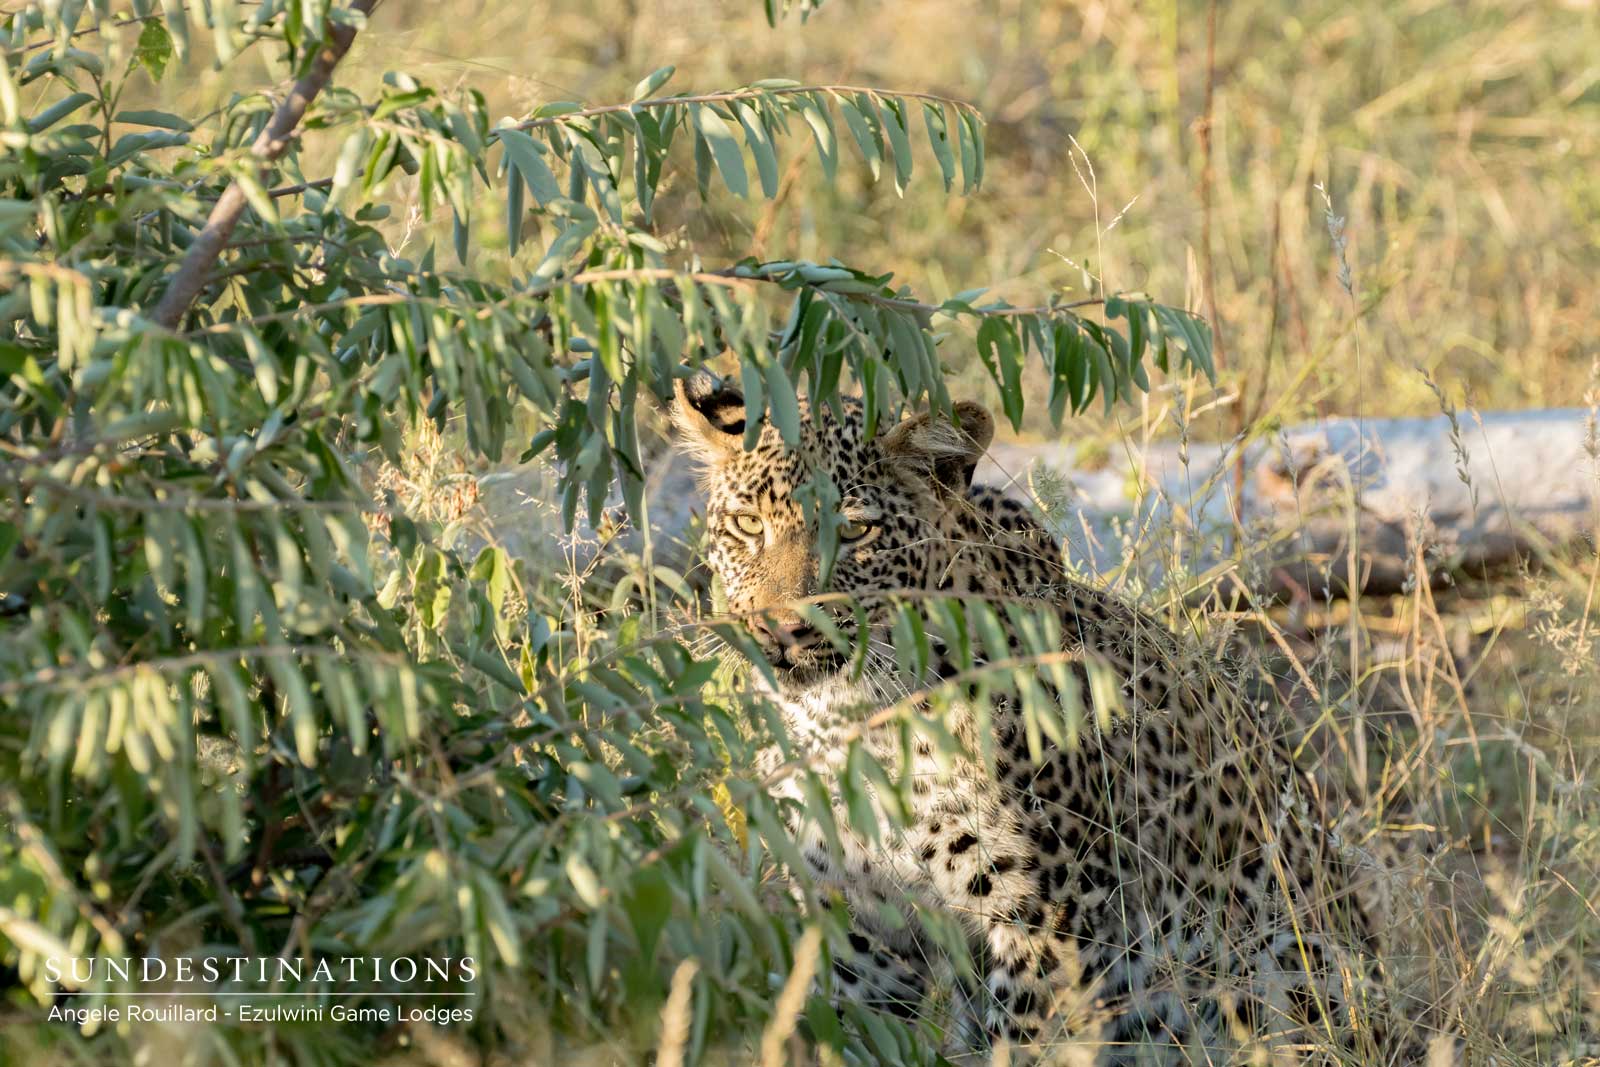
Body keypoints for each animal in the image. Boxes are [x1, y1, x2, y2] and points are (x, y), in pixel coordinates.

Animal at [671, 370, 1402, 1064]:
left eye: (856, 529)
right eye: (747, 525)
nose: (783, 628)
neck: (849, 719)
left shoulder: (1049, 919)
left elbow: (1022, 1045)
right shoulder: (857, 928)